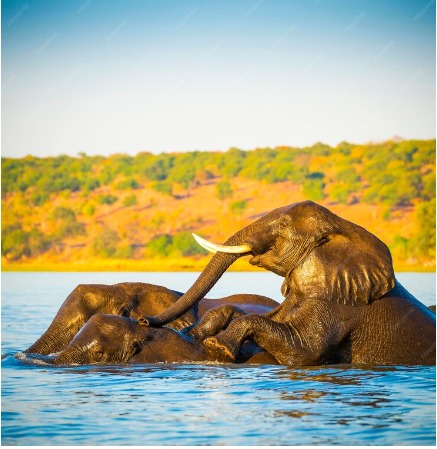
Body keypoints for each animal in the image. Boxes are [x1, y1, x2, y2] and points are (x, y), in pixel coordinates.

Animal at [141, 201, 436, 366]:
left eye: (283, 225)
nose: (144, 320)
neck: (340, 227)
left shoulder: (341, 307)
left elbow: (304, 349)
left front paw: (218, 346)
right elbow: (251, 313)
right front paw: (195, 333)